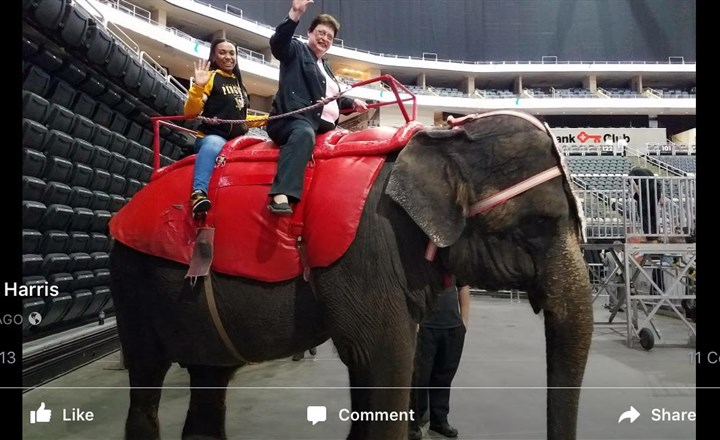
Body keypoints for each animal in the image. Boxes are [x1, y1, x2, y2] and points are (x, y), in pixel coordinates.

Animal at [109, 111, 593, 440]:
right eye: (539, 225)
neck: (437, 139)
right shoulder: (371, 249)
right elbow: (384, 361)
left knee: (211, 379)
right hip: (131, 278)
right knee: (147, 377)